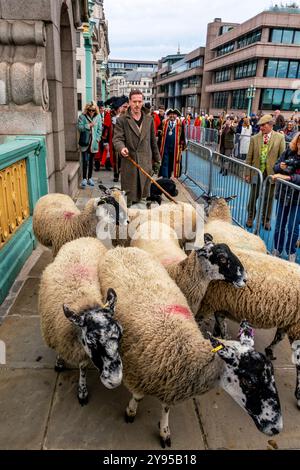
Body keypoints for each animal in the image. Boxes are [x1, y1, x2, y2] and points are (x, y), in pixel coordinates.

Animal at [38, 237, 123, 406]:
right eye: (91, 343)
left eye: (120, 336)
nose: (115, 381)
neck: (83, 302)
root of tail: (83, 238)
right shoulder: (58, 336)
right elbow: (59, 351)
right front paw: (59, 362)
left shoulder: (81, 351)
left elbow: (82, 368)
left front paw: (82, 391)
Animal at [99, 246, 284, 448]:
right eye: (248, 382)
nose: (276, 428)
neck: (185, 351)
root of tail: (124, 248)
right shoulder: (137, 376)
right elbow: (138, 397)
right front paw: (131, 412)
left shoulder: (170, 386)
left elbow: (165, 408)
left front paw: (164, 431)